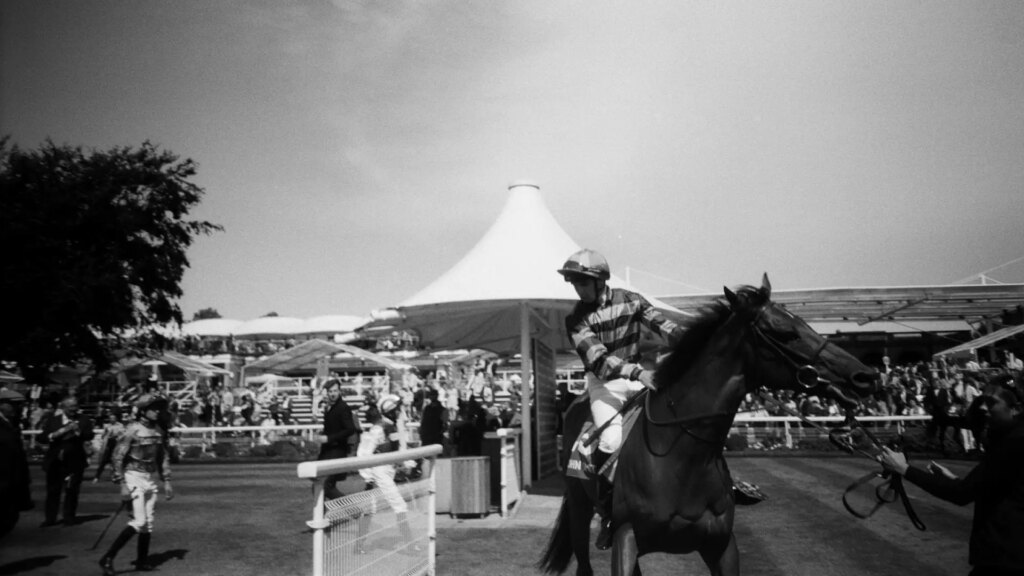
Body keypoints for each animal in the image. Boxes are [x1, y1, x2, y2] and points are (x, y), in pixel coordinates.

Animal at [536, 274, 880, 573]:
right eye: (785, 332)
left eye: (805, 323)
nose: (865, 375)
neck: (681, 459)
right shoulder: (625, 536)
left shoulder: (722, 545)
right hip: (580, 511)